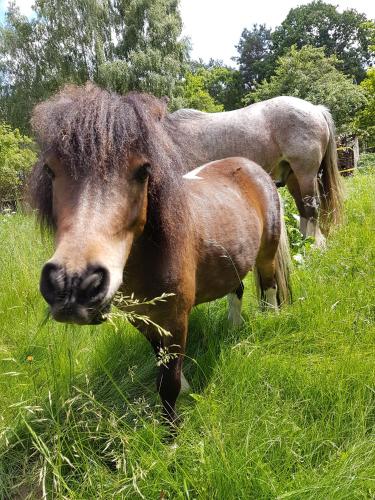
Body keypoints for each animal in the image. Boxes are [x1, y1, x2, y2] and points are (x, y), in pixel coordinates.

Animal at [29, 84, 294, 424]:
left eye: (144, 171)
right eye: (50, 169)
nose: (73, 284)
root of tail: (257, 171)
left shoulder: (175, 320)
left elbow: (167, 384)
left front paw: (172, 432)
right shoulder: (144, 320)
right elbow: (162, 363)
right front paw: (186, 387)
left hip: (266, 254)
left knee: (270, 285)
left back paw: (271, 320)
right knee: (237, 289)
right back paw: (234, 328)